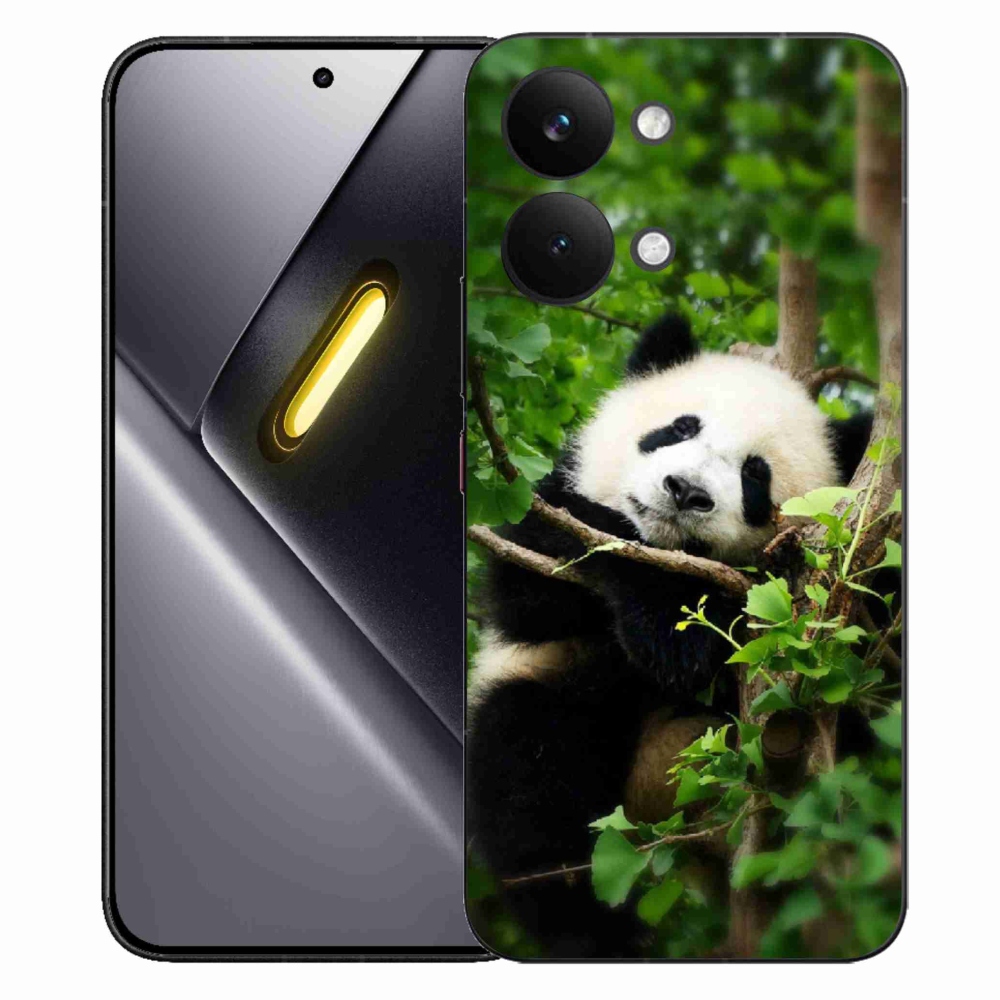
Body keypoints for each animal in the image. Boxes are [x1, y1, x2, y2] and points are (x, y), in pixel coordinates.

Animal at [466, 313, 871, 957]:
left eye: (755, 475)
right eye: (680, 427)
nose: (685, 491)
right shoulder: (542, 508)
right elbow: (534, 588)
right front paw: (670, 626)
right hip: (561, 704)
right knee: (532, 782)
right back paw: (595, 933)